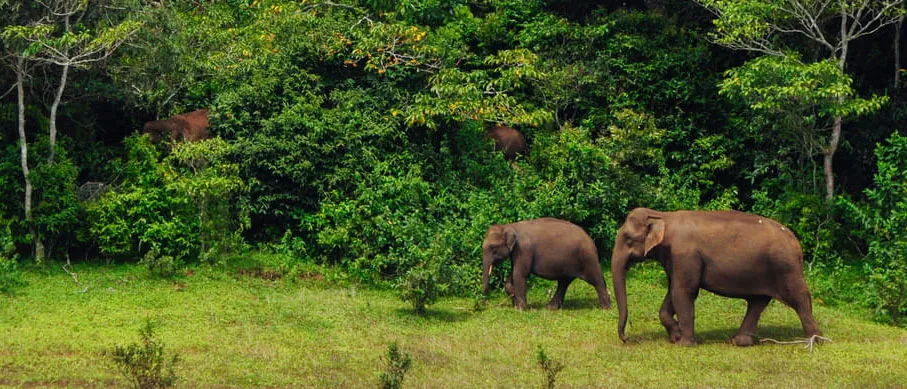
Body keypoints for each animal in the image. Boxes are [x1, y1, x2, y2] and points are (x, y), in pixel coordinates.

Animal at [482, 217, 612, 310]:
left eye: (493, 248)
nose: (485, 302)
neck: (509, 226)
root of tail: (591, 240)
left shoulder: (524, 250)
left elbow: (520, 274)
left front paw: (520, 309)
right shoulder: (517, 253)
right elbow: (513, 274)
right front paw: (515, 301)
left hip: (588, 258)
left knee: (596, 280)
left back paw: (606, 307)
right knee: (563, 282)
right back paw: (550, 308)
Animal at [612, 206, 820, 346]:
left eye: (628, 238)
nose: (625, 338)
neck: (663, 216)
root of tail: (796, 243)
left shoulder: (685, 254)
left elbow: (684, 292)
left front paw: (684, 343)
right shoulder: (674, 258)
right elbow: (673, 291)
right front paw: (676, 336)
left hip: (786, 267)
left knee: (800, 298)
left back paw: (814, 340)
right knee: (757, 302)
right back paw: (739, 341)